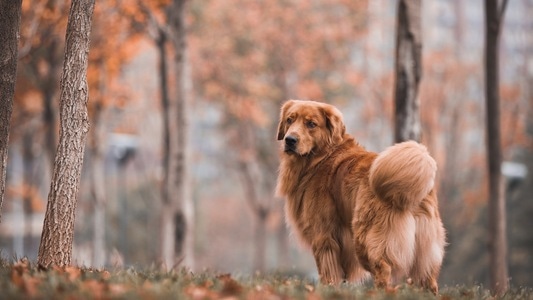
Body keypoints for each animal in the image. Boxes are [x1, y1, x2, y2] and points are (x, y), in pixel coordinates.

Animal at [274, 99, 444, 294]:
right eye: (289, 120)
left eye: (311, 124)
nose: (290, 140)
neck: (321, 156)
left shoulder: (323, 235)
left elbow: (328, 271)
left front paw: (327, 290)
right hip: (424, 250)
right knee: (428, 278)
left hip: (366, 238)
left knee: (383, 268)